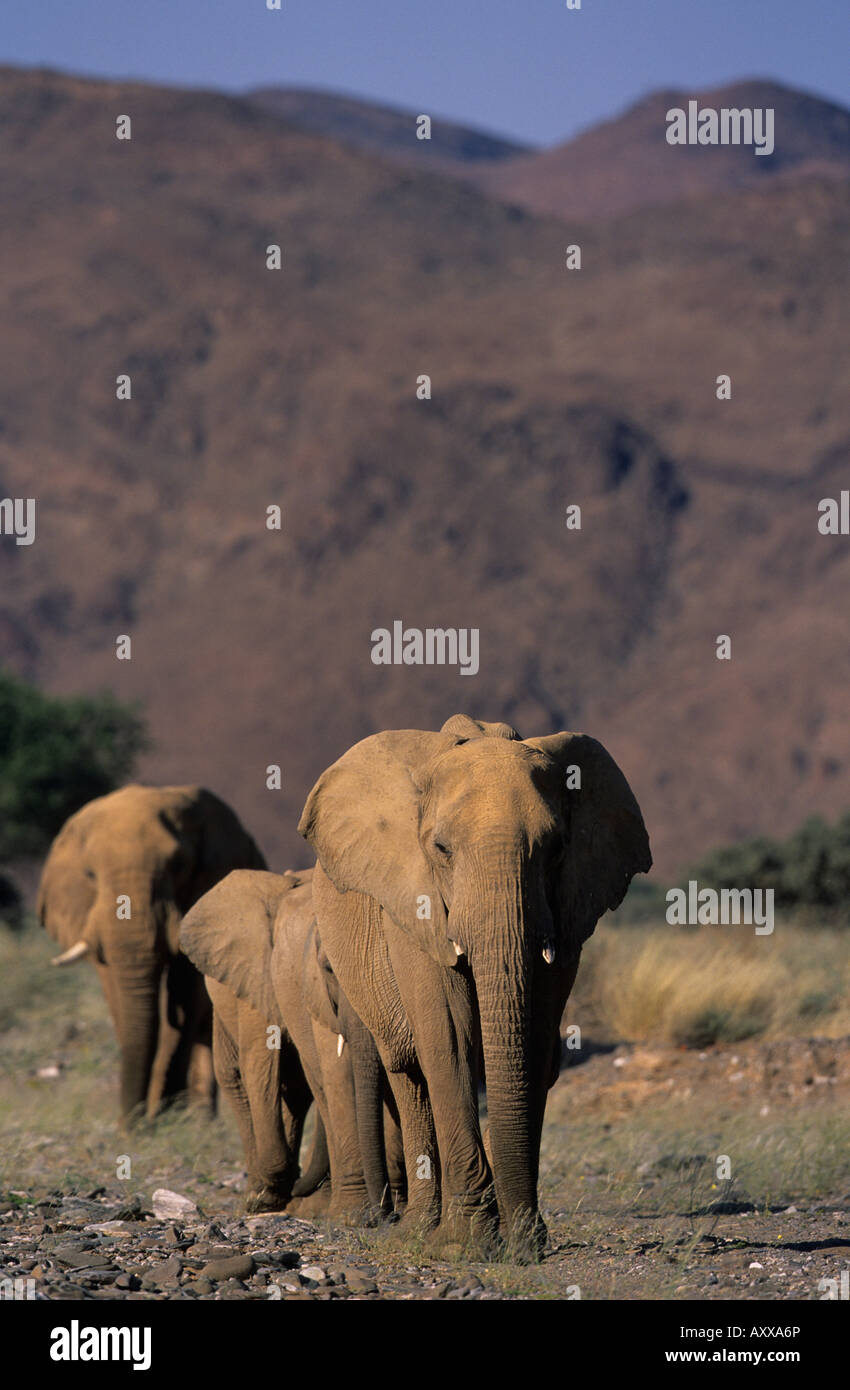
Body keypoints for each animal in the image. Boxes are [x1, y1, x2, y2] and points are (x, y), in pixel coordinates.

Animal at [36, 789, 265, 1123]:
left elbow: (184, 994)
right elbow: (120, 997)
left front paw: (170, 1116)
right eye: (90, 874)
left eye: (179, 865)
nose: (132, 1124)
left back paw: (200, 1119)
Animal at [180, 861, 405, 1223]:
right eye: (328, 969)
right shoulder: (260, 976)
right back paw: (266, 1195)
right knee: (239, 1079)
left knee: (297, 1089)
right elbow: (263, 1065)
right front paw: (273, 1194)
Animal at [298, 711, 650, 1267]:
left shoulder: (567, 910)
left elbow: (536, 1046)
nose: (526, 1245)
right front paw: (464, 1245)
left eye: (556, 850)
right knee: (408, 1070)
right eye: (441, 850)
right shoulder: (413, 909)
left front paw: (523, 1240)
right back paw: (418, 1231)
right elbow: (448, 1042)